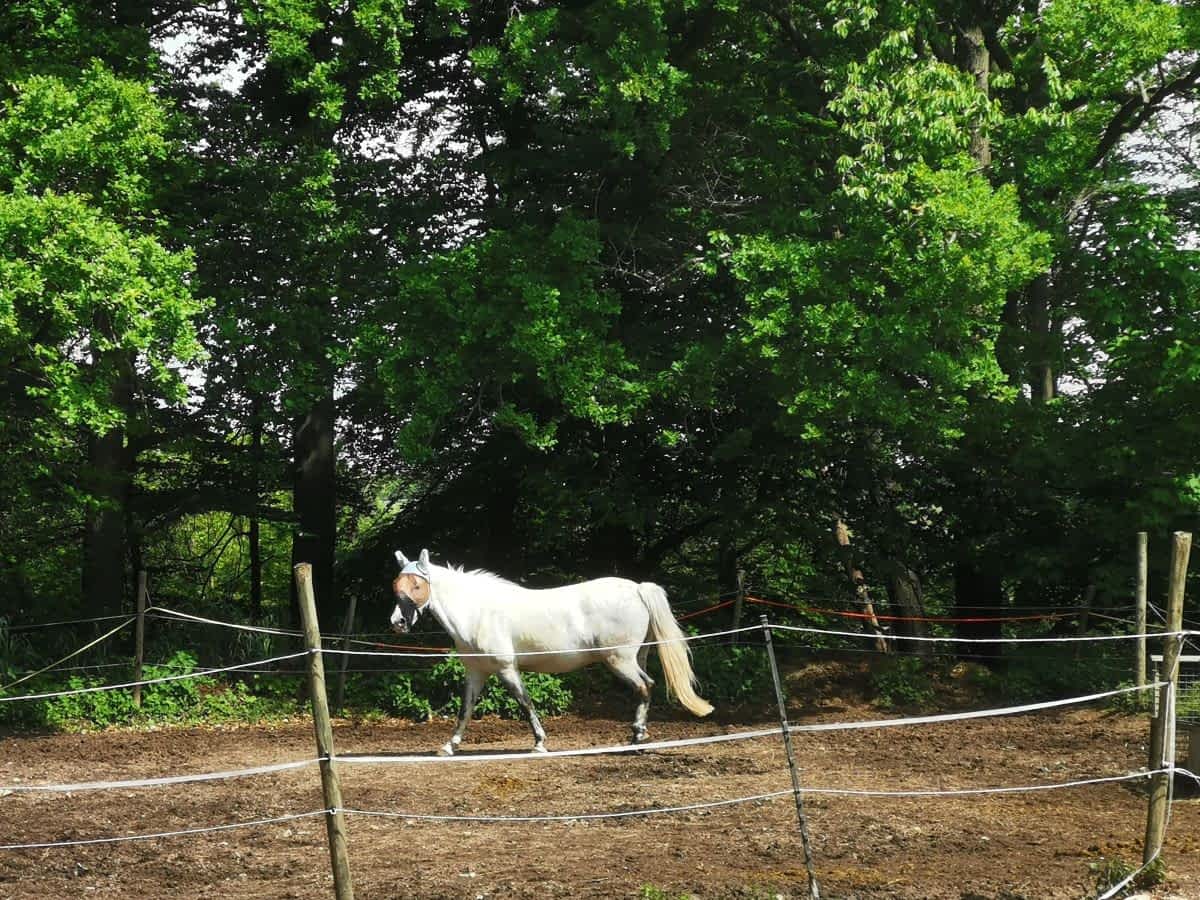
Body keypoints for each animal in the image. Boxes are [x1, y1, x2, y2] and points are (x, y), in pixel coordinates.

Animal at [390, 549, 713, 755]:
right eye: (396, 585)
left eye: (417, 585)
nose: (398, 623)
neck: (478, 612)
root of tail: (637, 589)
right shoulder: (477, 672)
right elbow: (465, 709)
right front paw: (449, 746)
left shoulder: (507, 669)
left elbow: (525, 703)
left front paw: (539, 743)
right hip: (636, 658)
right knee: (647, 687)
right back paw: (639, 736)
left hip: (619, 660)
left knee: (644, 687)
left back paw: (636, 738)